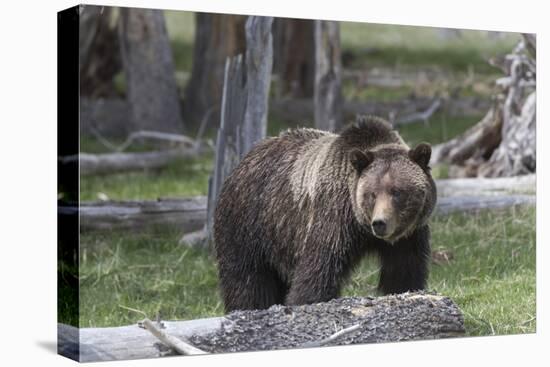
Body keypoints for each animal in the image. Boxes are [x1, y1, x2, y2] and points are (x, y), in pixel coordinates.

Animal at [213, 115, 438, 314]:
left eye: (397, 191)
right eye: (372, 194)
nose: (380, 223)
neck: (362, 228)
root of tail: (243, 160)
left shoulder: (409, 237)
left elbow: (404, 273)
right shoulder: (334, 218)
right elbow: (318, 270)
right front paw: (305, 302)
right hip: (248, 224)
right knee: (247, 278)